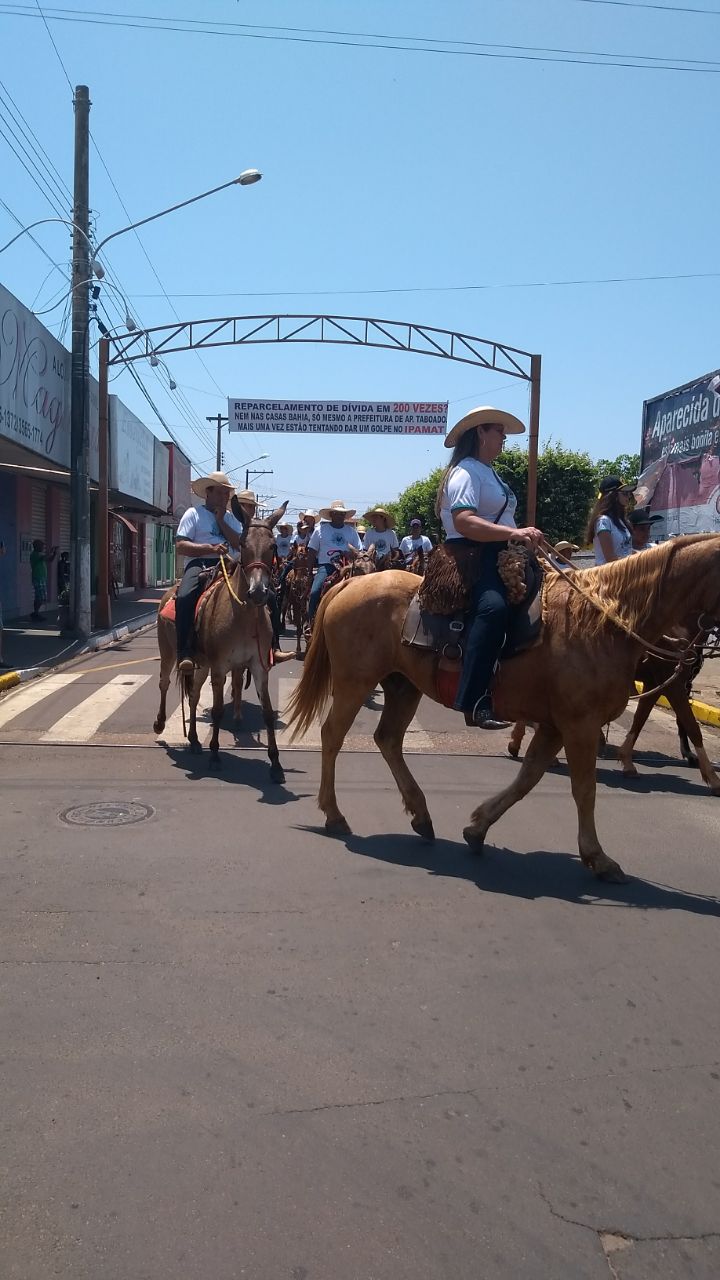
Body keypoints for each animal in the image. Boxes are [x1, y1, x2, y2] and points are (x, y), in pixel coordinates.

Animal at [153, 499, 288, 779]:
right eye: (243, 545)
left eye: (272, 546)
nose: (258, 592)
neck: (243, 616)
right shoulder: (219, 668)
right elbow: (216, 711)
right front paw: (215, 755)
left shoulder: (258, 667)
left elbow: (268, 714)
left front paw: (275, 764)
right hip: (169, 652)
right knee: (163, 683)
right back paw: (160, 724)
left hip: (201, 664)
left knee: (193, 695)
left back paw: (194, 740)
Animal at [286, 535, 720, 881]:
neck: (603, 621)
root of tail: (350, 582)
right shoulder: (579, 723)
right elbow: (584, 788)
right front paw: (598, 858)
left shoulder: (556, 724)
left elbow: (528, 778)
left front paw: (478, 828)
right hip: (354, 682)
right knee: (332, 735)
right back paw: (334, 814)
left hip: (403, 686)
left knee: (388, 739)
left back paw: (421, 815)